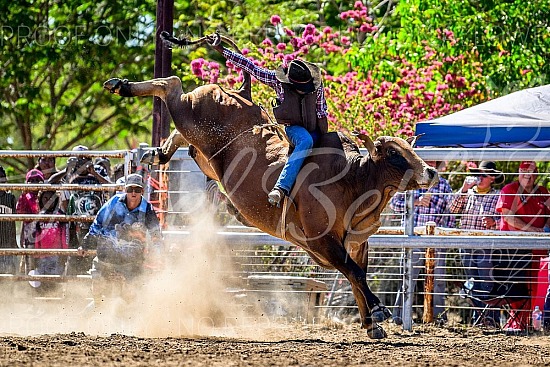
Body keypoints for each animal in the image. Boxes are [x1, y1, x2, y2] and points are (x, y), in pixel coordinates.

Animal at [104, 32, 440, 340]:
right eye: (395, 154)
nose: (432, 172)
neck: (351, 181)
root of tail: (242, 92)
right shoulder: (322, 241)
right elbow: (355, 273)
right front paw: (380, 312)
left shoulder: (358, 243)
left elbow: (357, 276)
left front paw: (371, 325)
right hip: (190, 111)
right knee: (171, 84)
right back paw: (121, 85)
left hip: (201, 150)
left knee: (178, 130)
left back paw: (156, 152)